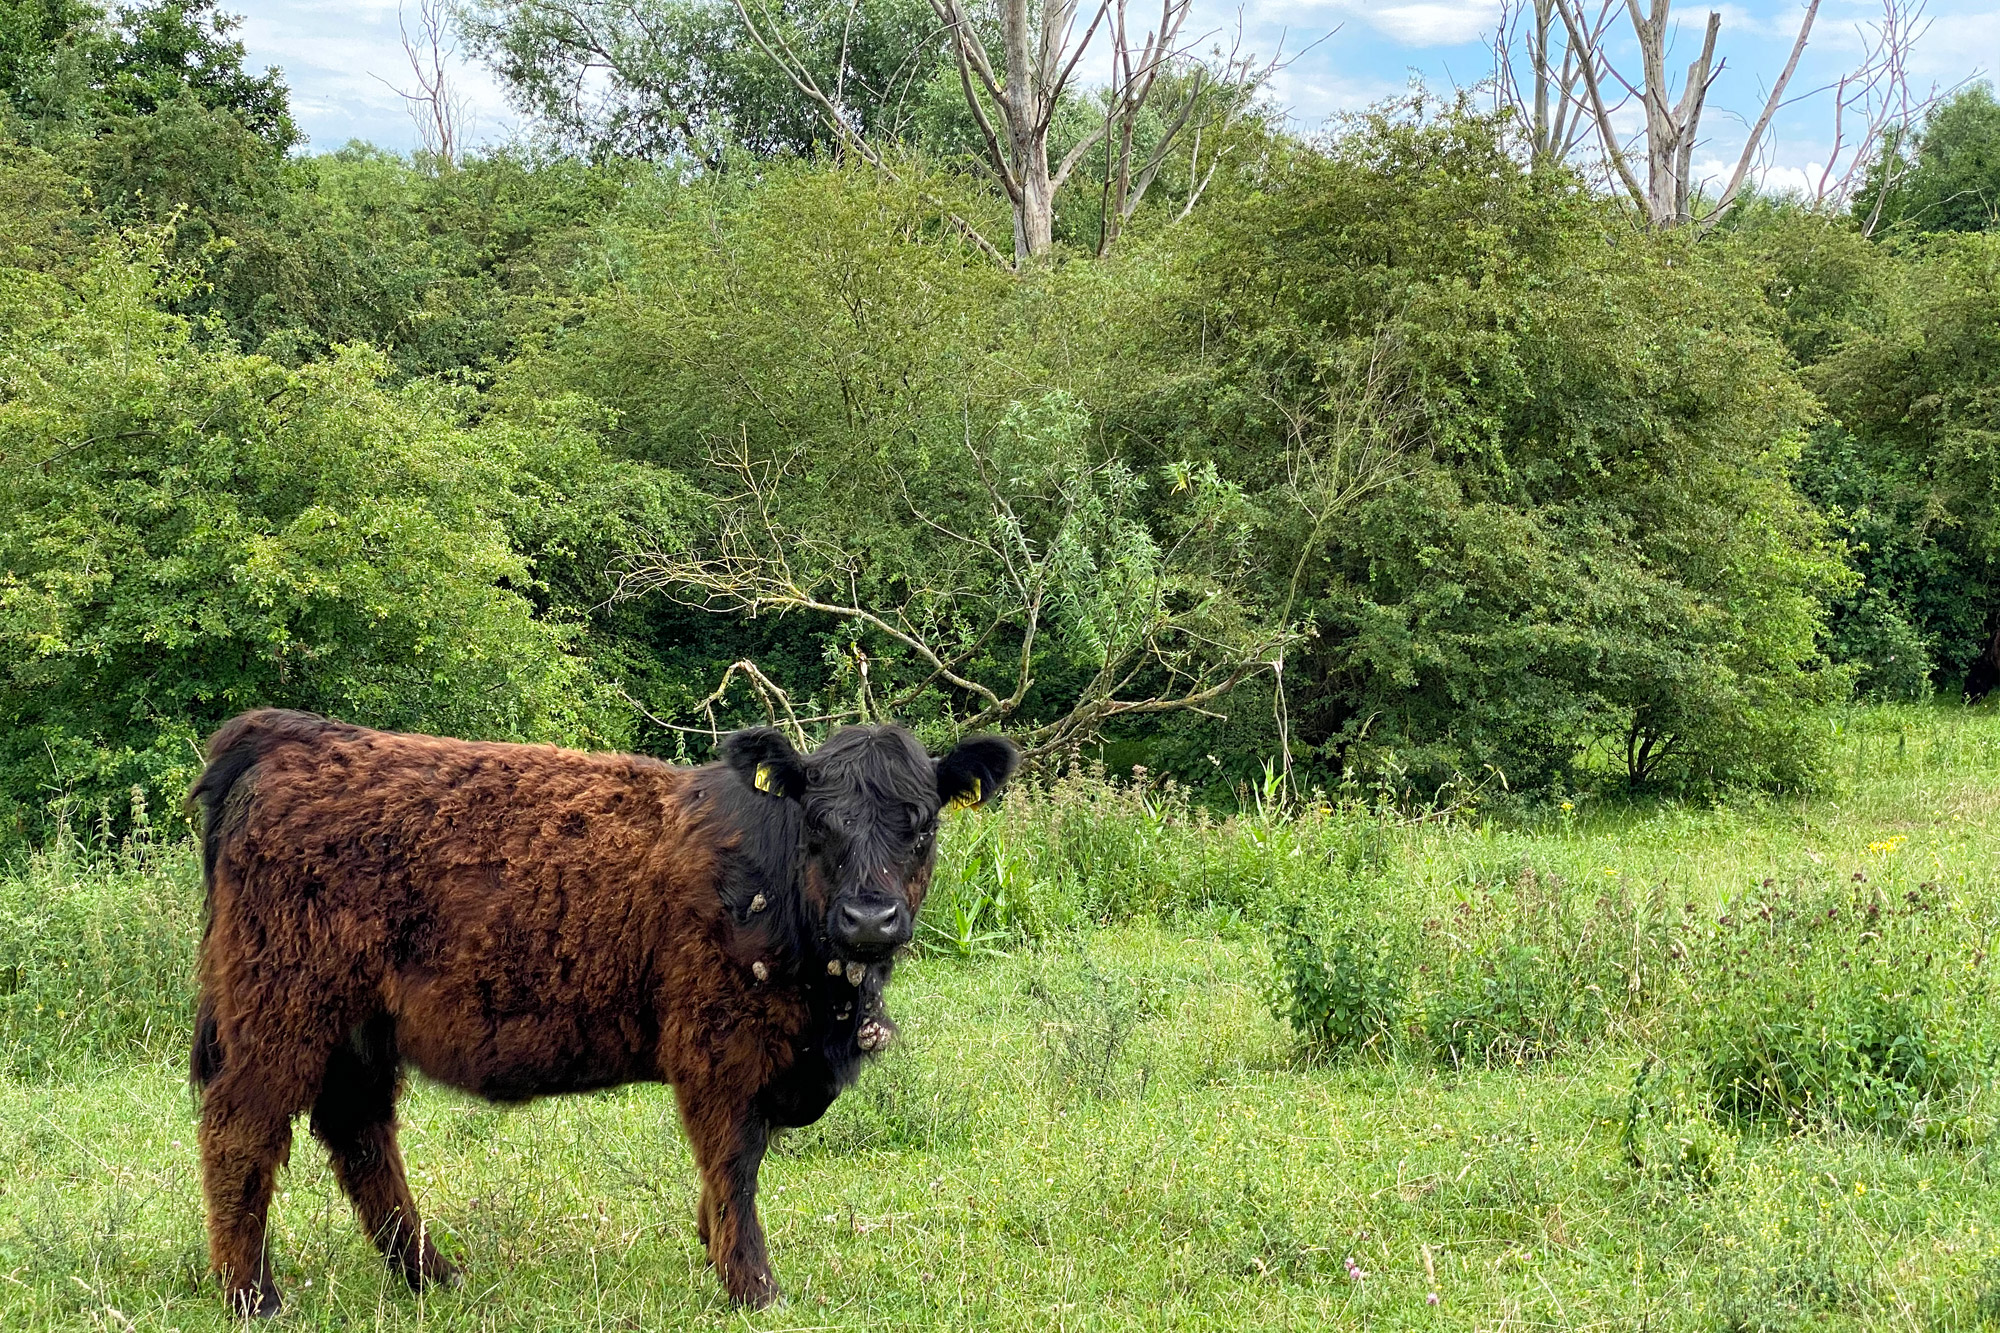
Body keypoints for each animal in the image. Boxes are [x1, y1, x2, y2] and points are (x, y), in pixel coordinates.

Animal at [188, 712, 1016, 1312]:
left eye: (923, 822)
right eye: (819, 823)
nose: (869, 916)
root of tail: (295, 736)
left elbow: (725, 1176)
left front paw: (713, 1247)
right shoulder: (717, 1048)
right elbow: (735, 1162)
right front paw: (754, 1286)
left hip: (355, 1030)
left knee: (359, 1136)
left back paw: (435, 1274)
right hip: (282, 1012)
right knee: (241, 1132)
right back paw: (254, 1295)